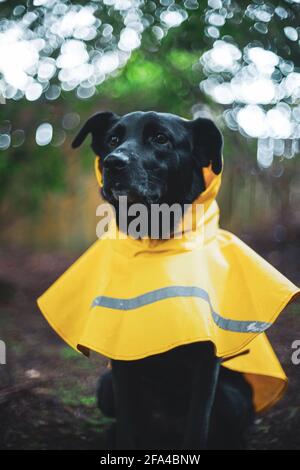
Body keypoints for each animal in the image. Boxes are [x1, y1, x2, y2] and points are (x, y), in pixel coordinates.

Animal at [71, 112, 254, 450]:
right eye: (113, 140)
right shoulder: (121, 365)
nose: (113, 163)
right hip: (105, 389)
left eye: (161, 139)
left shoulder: (206, 364)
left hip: (235, 401)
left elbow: (197, 426)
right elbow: (128, 426)